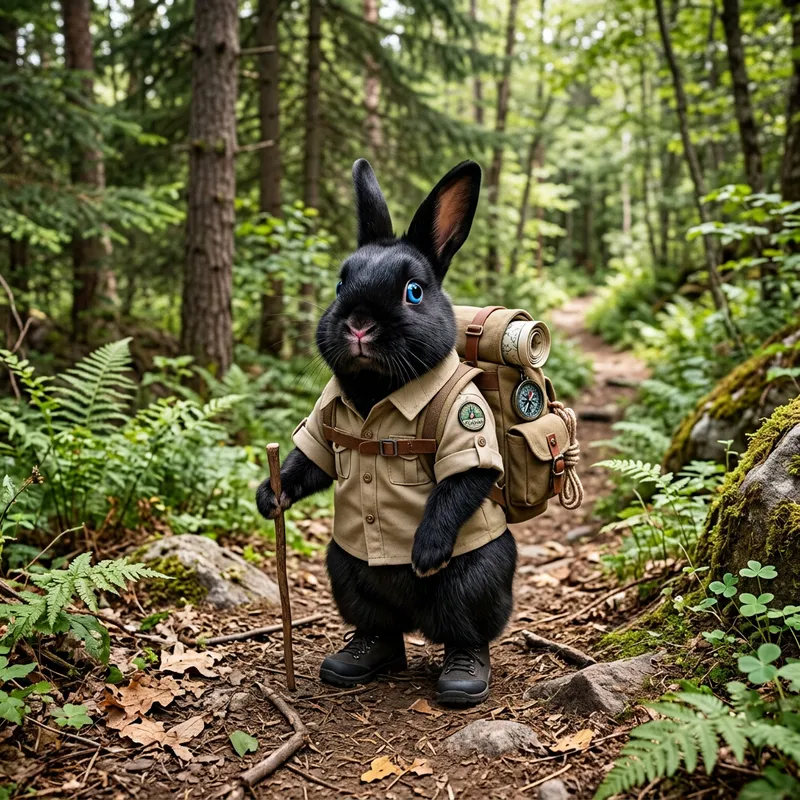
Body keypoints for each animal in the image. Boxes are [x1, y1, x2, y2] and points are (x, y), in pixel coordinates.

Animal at [256, 159, 516, 706]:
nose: (358, 323)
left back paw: (463, 676)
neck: (378, 393)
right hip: (345, 572)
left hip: (477, 579)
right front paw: (269, 498)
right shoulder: (322, 429)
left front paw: (425, 553)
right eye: (339, 285)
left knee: (468, 630)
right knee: (381, 627)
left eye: (413, 292)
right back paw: (357, 659)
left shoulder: (468, 428)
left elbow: (461, 483)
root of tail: (418, 623)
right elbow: (307, 464)